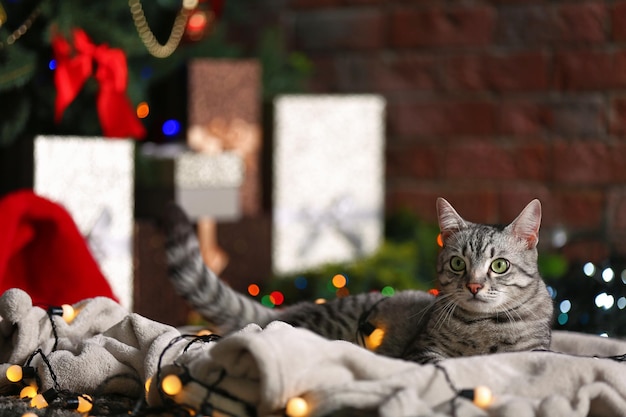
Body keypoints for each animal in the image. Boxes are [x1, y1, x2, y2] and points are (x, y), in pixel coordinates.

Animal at [162, 197, 552, 362]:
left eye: (498, 266)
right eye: (458, 263)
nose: (473, 285)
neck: (482, 327)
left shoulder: (537, 351)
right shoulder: (421, 350)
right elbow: (437, 363)